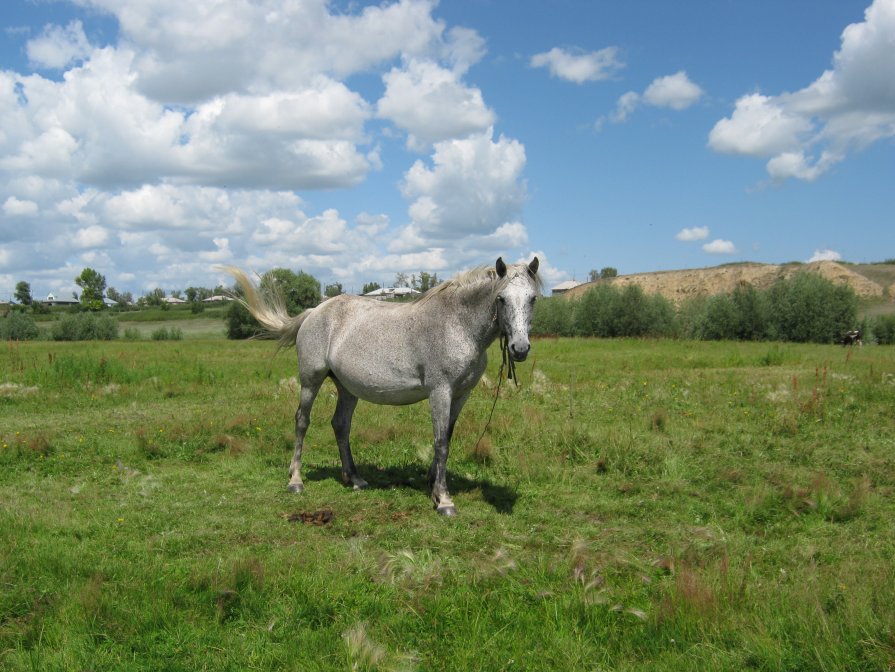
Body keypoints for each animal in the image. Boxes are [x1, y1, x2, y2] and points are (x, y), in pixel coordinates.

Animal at [228, 258, 544, 516]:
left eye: (532, 299)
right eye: (501, 298)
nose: (519, 348)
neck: (457, 324)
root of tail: (314, 311)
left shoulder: (461, 395)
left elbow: (447, 437)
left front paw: (433, 483)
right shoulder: (440, 391)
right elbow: (440, 442)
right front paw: (443, 500)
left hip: (347, 389)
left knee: (340, 425)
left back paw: (354, 478)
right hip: (311, 381)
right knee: (302, 422)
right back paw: (295, 480)